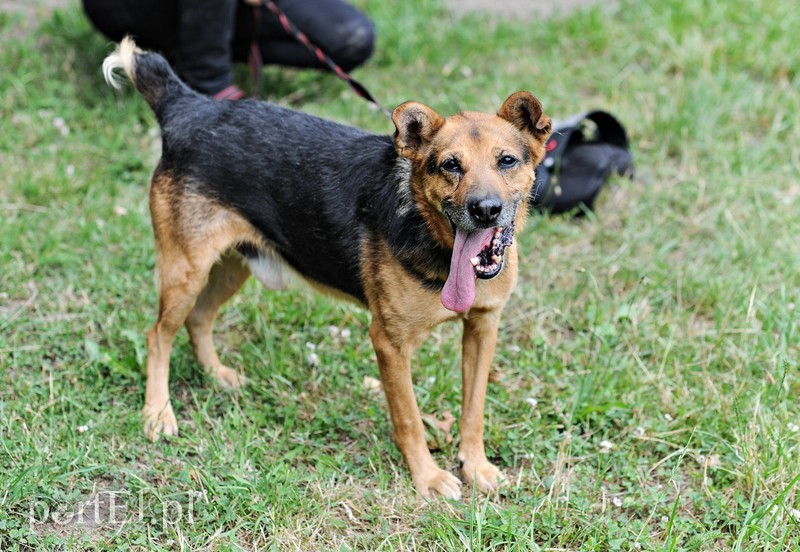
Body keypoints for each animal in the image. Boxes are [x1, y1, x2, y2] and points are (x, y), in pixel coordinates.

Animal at [103, 36, 552, 498]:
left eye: (506, 161)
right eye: (450, 165)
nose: (485, 210)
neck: (435, 241)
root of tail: (188, 106)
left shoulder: (483, 327)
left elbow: (473, 410)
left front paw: (476, 465)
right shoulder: (389, 342)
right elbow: (409, 420)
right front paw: (427, 477)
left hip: (233, 266)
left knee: (199, 318)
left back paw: (217, 375)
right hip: (186, 271)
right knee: (158, 336)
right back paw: (158, 413)